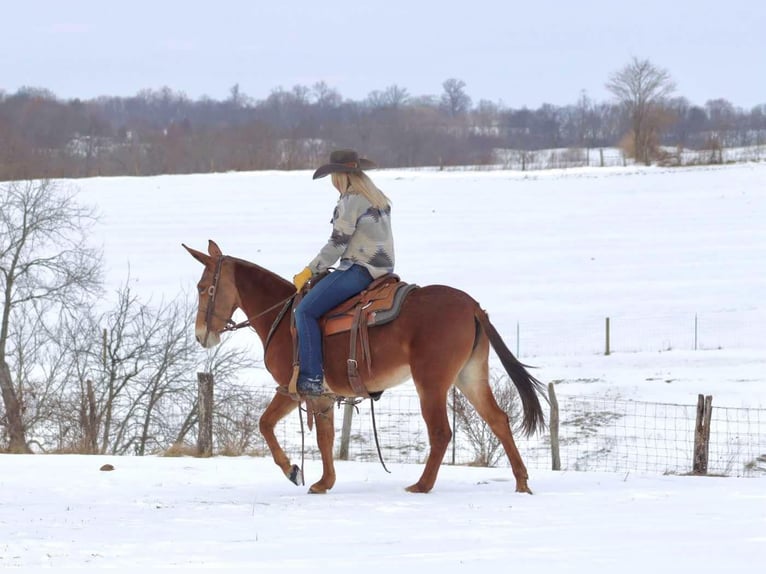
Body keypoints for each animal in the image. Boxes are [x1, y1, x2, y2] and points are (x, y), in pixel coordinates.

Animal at [184, 241, 548, 498]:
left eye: (202, 288)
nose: (201, 335)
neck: (283, 317)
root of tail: (471, 306)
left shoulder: (292, 388)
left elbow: (266, 425)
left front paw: (292, 470)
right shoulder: (322, 396)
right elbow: (326, 438)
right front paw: (324, 482)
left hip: (431, 383)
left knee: (442, 432)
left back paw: (422, 485)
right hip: (469, 377)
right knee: (498, 420)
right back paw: (521, 482)